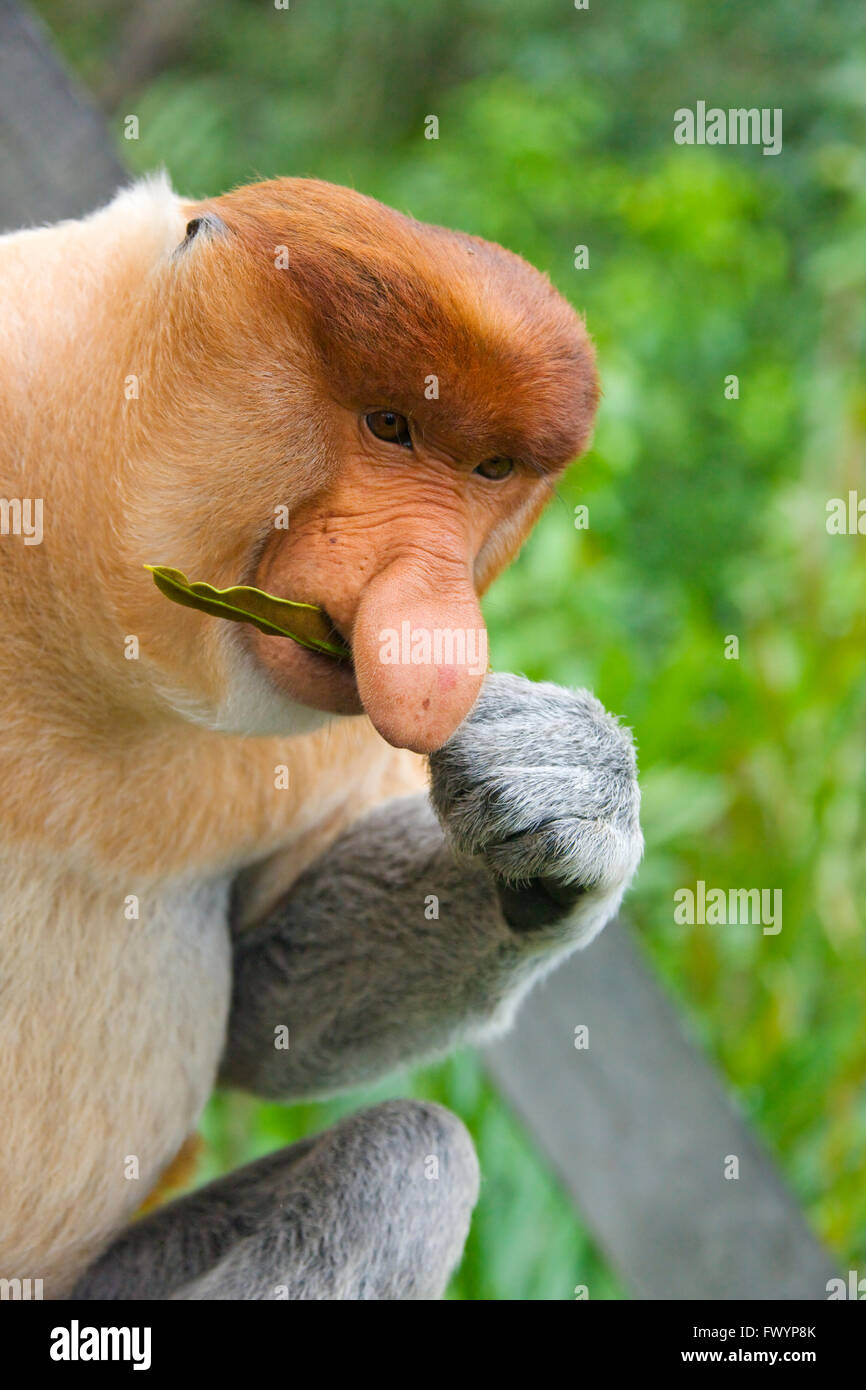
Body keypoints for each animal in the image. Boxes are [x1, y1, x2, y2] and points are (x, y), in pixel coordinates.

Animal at [0, 174, 642, 1300]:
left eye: (489, 469)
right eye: (389, 425)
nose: (434, 619)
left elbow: (268, 1016)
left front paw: (567, 798)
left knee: (410, 1159)